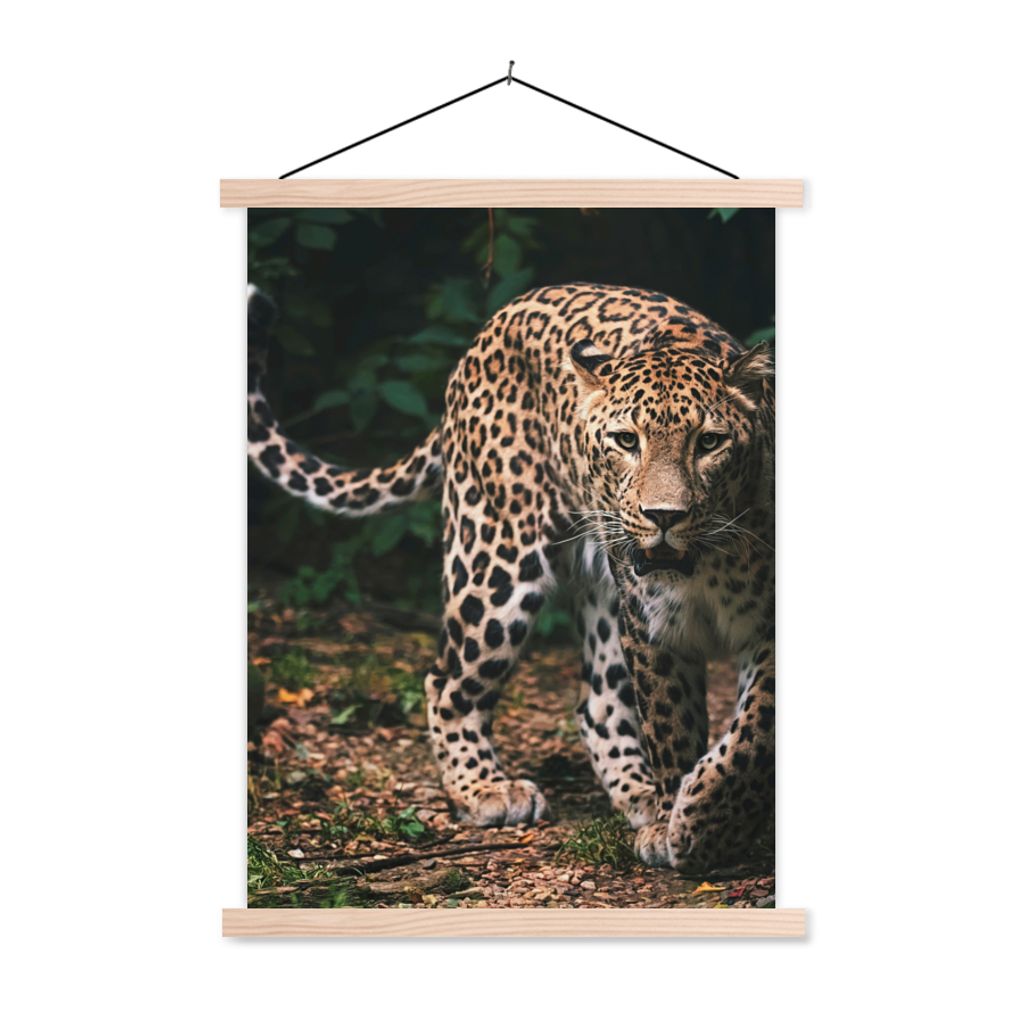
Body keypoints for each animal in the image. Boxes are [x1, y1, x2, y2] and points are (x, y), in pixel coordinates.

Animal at [247, 280, 775, 872]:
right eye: (625, 441)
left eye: (709, 443)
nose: (664, 516)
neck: (706, 562)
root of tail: (497, 320)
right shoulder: (652, 628)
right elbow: (672, 728)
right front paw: (681, 824)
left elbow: (754, 736)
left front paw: (703, 819)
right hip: (494, 560)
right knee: (446, 681)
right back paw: (486, 790)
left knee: (596, 701)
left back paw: (636, 794)